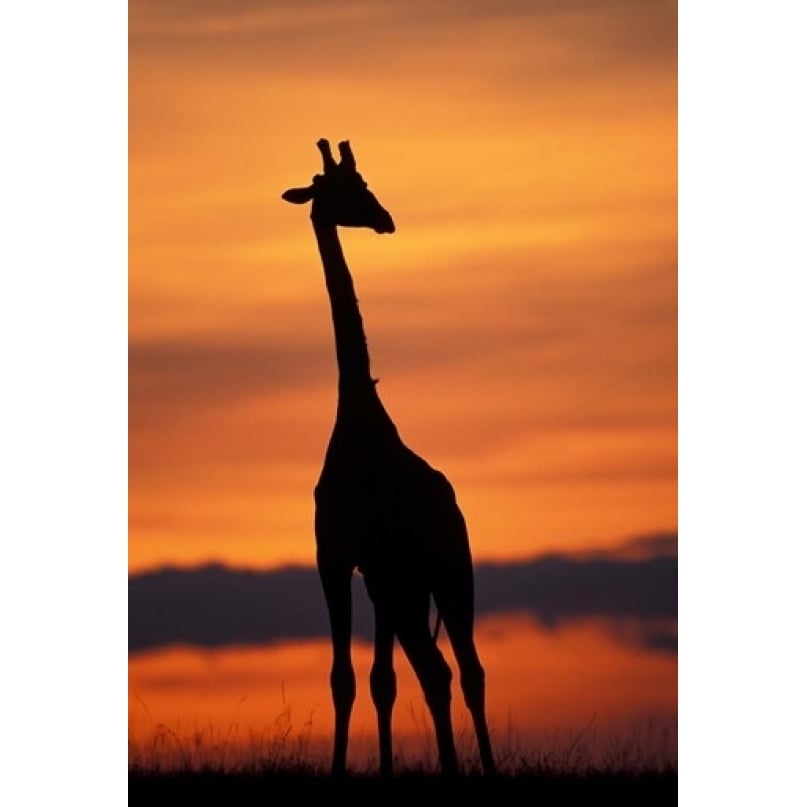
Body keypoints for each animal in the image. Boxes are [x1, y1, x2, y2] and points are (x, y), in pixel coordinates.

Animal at [284, 139, 498, 776]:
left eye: (364, 183)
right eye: (344, 189)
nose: (385, 218)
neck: (358, 415)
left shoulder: (349, 559)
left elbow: (356, 678)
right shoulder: (357, 566)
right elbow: (369, 679)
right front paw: (370, 769)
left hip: (436, 572)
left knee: (450, 668)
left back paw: (465, 768)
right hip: (427, 576)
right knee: (454, 669)